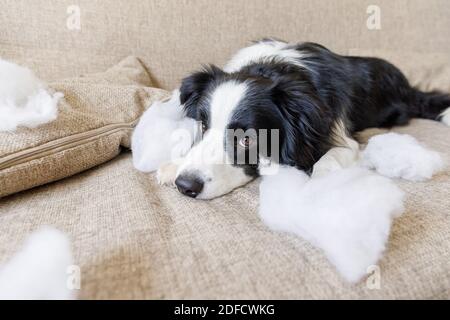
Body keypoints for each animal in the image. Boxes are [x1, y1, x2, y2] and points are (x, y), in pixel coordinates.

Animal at [158, 38, 450, 199]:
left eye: (247, 140)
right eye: (203, 125)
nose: (185, 185)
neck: (275, 69)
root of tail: (407, 85)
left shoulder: (340, 133)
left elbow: (331, 158)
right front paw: (173, 166)